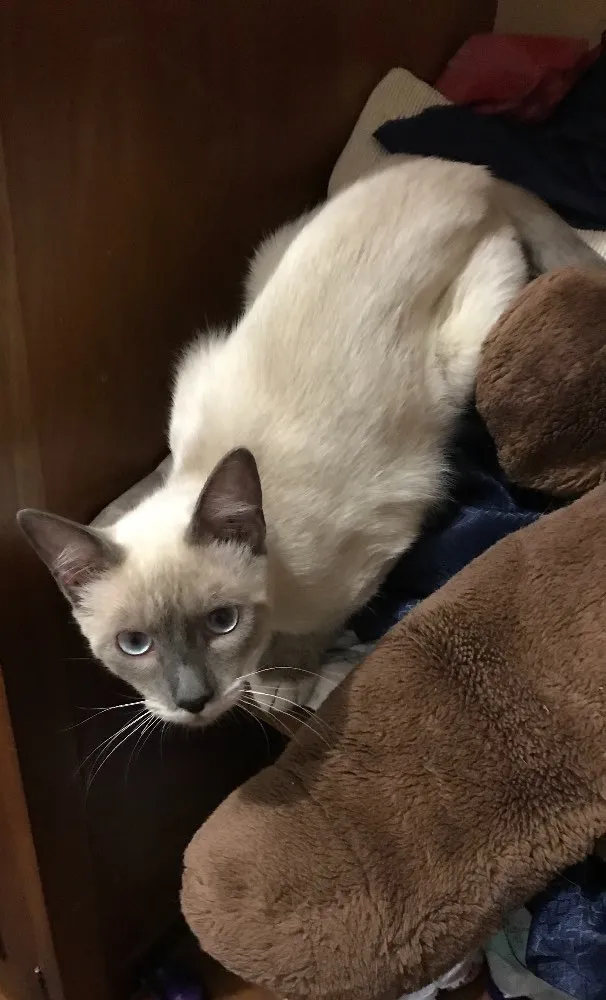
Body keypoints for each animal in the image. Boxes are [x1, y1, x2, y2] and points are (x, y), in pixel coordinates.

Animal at [18, 157, 604, 730]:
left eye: (222, 621)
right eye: (134, 645)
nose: (193, 701)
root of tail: (464, 169)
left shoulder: (380, 542)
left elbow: (314, 631)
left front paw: (282, 681)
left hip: (467, 345)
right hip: (263, 264)